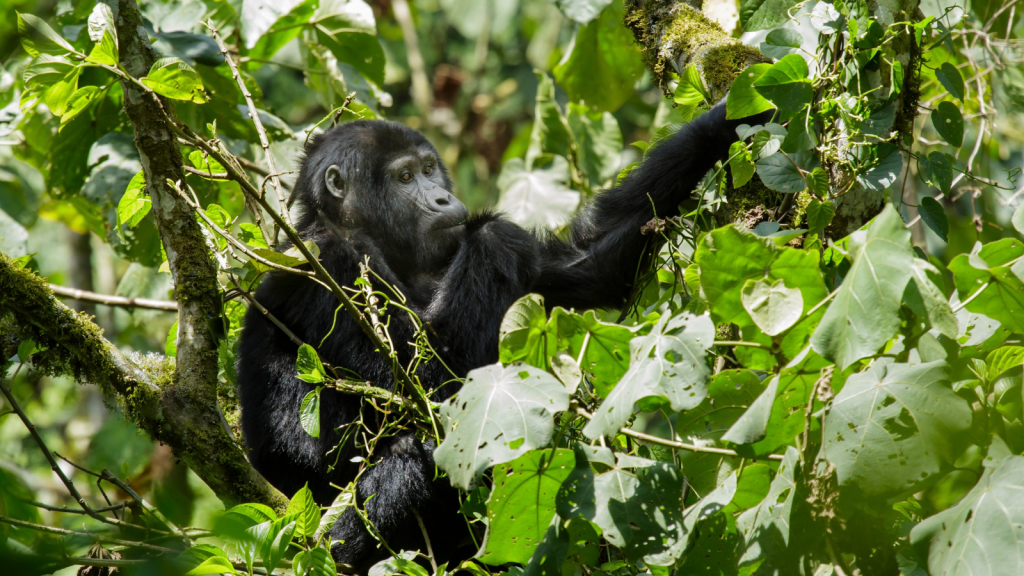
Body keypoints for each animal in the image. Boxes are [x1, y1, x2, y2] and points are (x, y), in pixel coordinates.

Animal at [237, 97, 770, 565]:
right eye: (404, 177)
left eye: (428, 169)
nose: (443, 198)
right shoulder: (328, 264)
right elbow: (425, 387)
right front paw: (488, 235)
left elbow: (591, 263)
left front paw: (726, 120)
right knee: (412, 452)